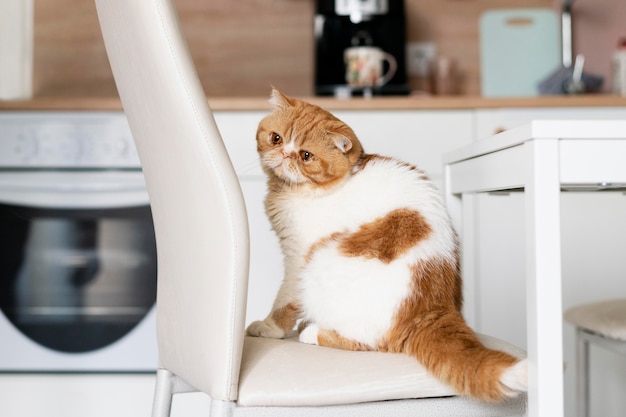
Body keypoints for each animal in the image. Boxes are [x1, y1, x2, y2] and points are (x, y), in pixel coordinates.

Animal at [245, 88, 528, 404]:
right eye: (276, 139)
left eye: (306, 155)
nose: (284, 154)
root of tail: (433, 308)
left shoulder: (298, 258)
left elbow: (284, 301)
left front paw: (269, 328)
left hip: (320, 264)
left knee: (369, 342)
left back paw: (312, 331)